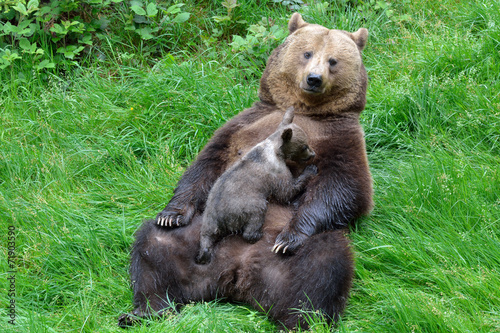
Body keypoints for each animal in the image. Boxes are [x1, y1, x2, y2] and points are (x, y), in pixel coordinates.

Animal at [119, 13, 374, 330]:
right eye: (307, 53)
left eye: (333, 60)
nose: (313, 79)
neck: (307, 110)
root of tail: (236, 276)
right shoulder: (242, 124)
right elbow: (206, 165)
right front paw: (172, 213)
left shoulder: (341, 138)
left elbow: (346, 188)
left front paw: (289, 236)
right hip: (196, 241)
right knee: (153, 250)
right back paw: (143, 310)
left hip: (297, 253)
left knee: (321, 269)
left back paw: (299, 320)